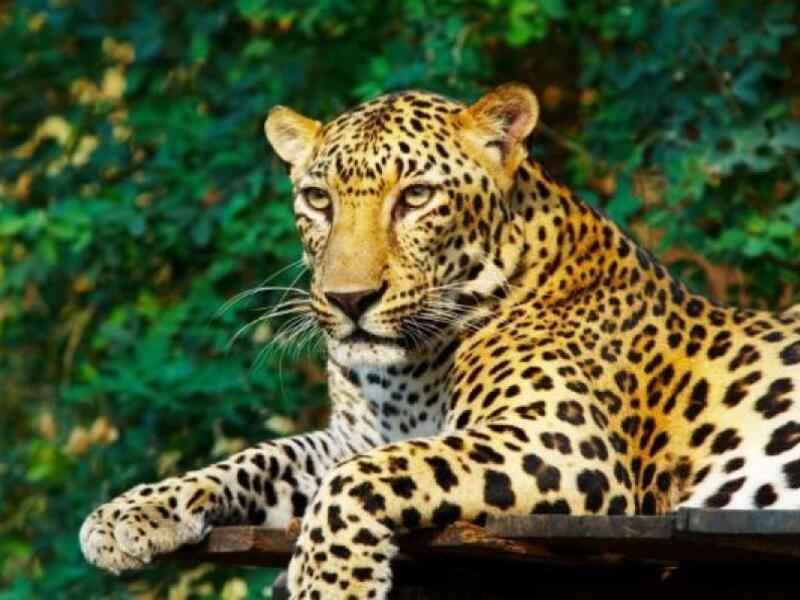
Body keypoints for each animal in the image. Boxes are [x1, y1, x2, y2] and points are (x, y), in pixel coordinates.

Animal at [80, 83, 800, 599]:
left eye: (417, 197)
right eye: (318, 200)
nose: (348, 299)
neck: (405, 372)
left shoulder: (563, 441)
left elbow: (364, 476)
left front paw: (330, 582)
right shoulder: (350, 436)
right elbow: (257, 458)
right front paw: (129, 514)